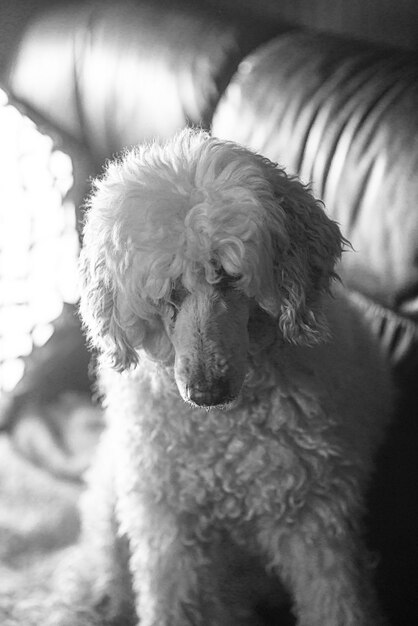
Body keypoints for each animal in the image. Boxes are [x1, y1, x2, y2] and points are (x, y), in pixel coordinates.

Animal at [48, 129, 392, 620]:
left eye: (229, 277)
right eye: (167, 293)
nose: (205, 391)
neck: (225, 432)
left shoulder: (316, 521)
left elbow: (337, 603)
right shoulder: (168, 531)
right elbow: (170, 605)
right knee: (98, 572)